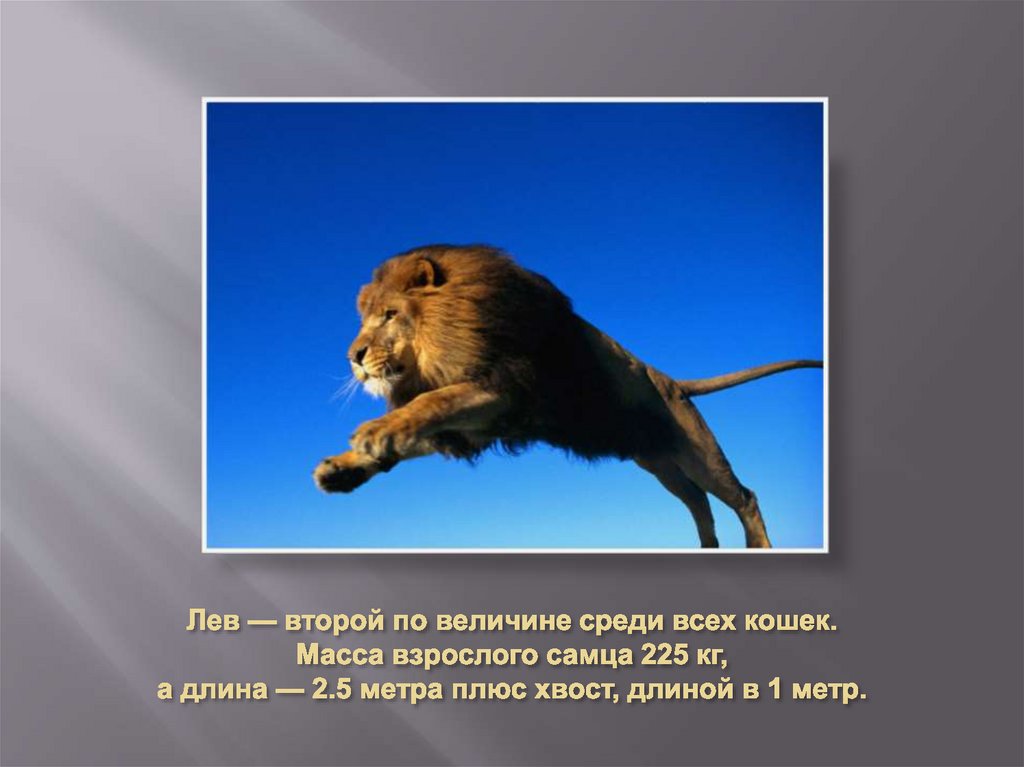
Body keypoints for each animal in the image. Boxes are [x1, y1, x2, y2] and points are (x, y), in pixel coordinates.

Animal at [313, 244, 822, 548]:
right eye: (365, 320)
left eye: (390, 314)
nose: (353, 357)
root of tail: (673, 382)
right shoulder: (477, 424)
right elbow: (417, 429)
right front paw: (343, 468)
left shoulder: (504, 389)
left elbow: (430, 403)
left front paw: (373, 432)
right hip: (661, 464)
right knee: (699, 504)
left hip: (698, 452)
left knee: (743, 497)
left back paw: (757, 547)